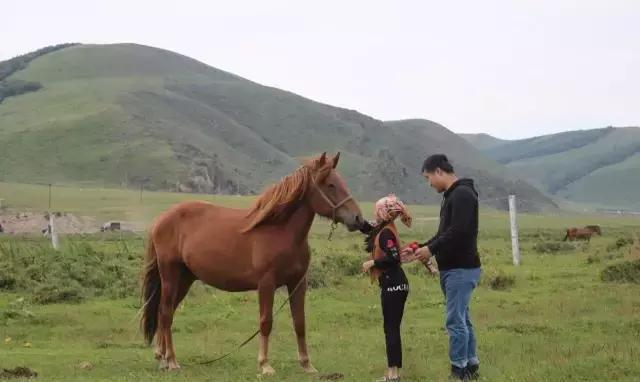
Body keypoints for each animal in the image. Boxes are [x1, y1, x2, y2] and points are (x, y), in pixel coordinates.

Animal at [139, 152, 362, 374]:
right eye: (331, 185)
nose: (359, 219)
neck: (281, 231)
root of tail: (161, 219)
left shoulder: (298, 283)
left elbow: (300, 323)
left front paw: (307, 364)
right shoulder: (266, 284)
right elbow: (266, 322)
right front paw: (265, 364)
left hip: (185, 279)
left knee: (165, 312)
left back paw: (162, 357)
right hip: (170, 275)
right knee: (166, 313)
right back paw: (171, 360)